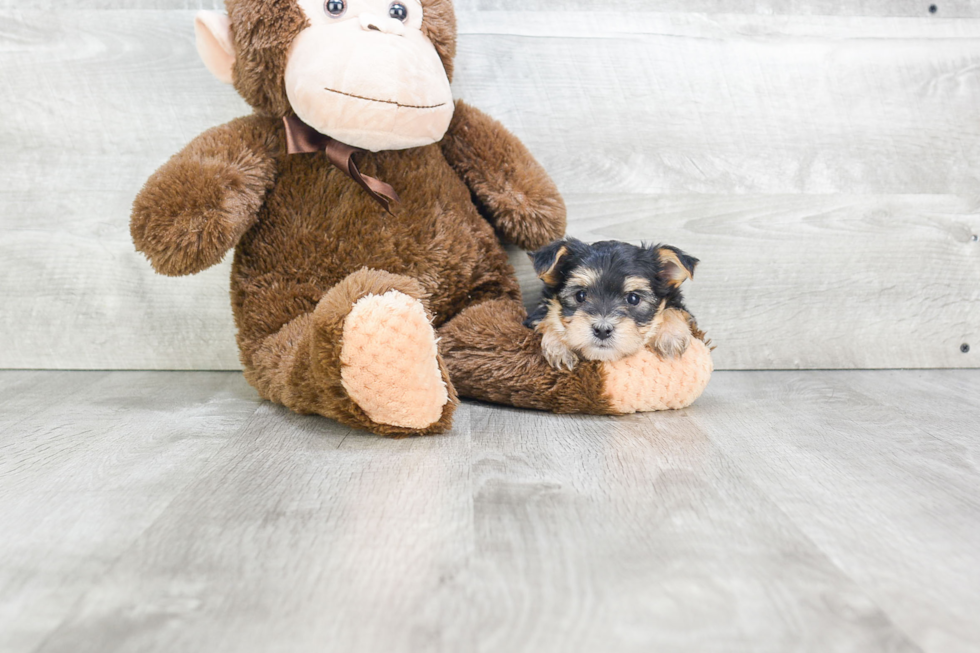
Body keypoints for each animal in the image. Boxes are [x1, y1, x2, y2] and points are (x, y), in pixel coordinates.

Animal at [524, 238, 700, 372]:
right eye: (580, 295)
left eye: (633, 299)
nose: (602, 330)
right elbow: (548, 317)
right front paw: (559, 346)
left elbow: (671, 309)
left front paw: (671, 336)